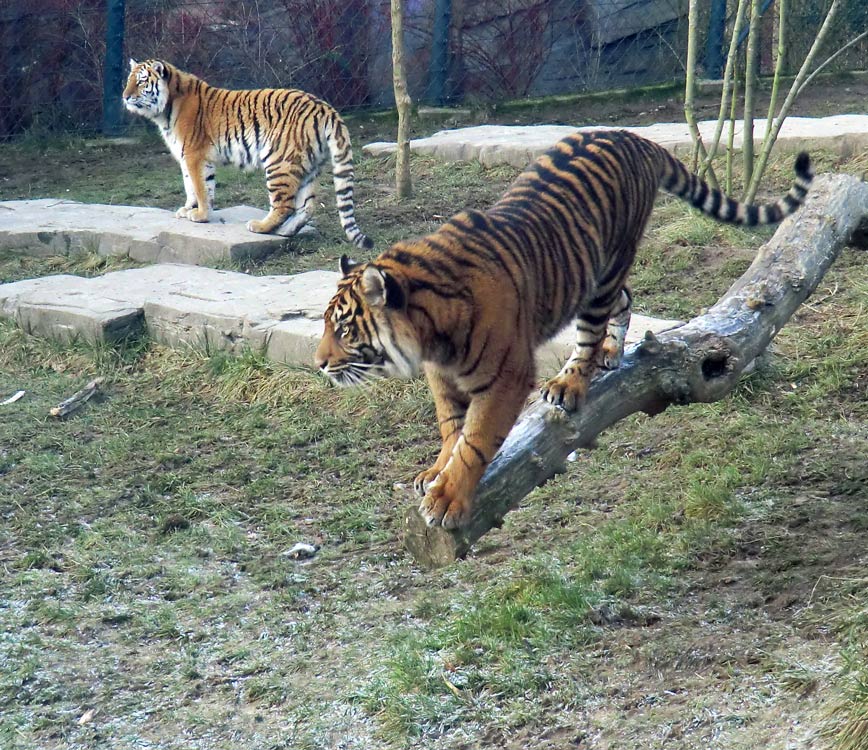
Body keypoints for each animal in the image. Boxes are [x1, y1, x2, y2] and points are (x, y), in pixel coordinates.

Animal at [123, 61, 372, 250]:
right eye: (128, 80)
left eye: (142, 81)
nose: (125, 97)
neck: (165, 109)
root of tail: (324, 108)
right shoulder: (189, 159)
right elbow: (195, 187)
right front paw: (190, 209)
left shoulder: (194, 156)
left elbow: (199, 187)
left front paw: (201, 214)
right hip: (310, 165)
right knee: (307, 206)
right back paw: (285, 231)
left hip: (279, 162)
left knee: (284, 205)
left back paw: (261, 227)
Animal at [314, 131, 812, 528]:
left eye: (343, 329)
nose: (319, 364)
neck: (430, 334)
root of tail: (633, 137)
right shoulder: (442, 376)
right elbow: (451, 429)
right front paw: (437, 472)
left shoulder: (506, 378)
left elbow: (474, 440)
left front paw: (449, 498)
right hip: (598, 278)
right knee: (625, 301)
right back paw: (611, 353)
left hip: (604, 270)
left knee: (591, 333)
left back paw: (572, 381)